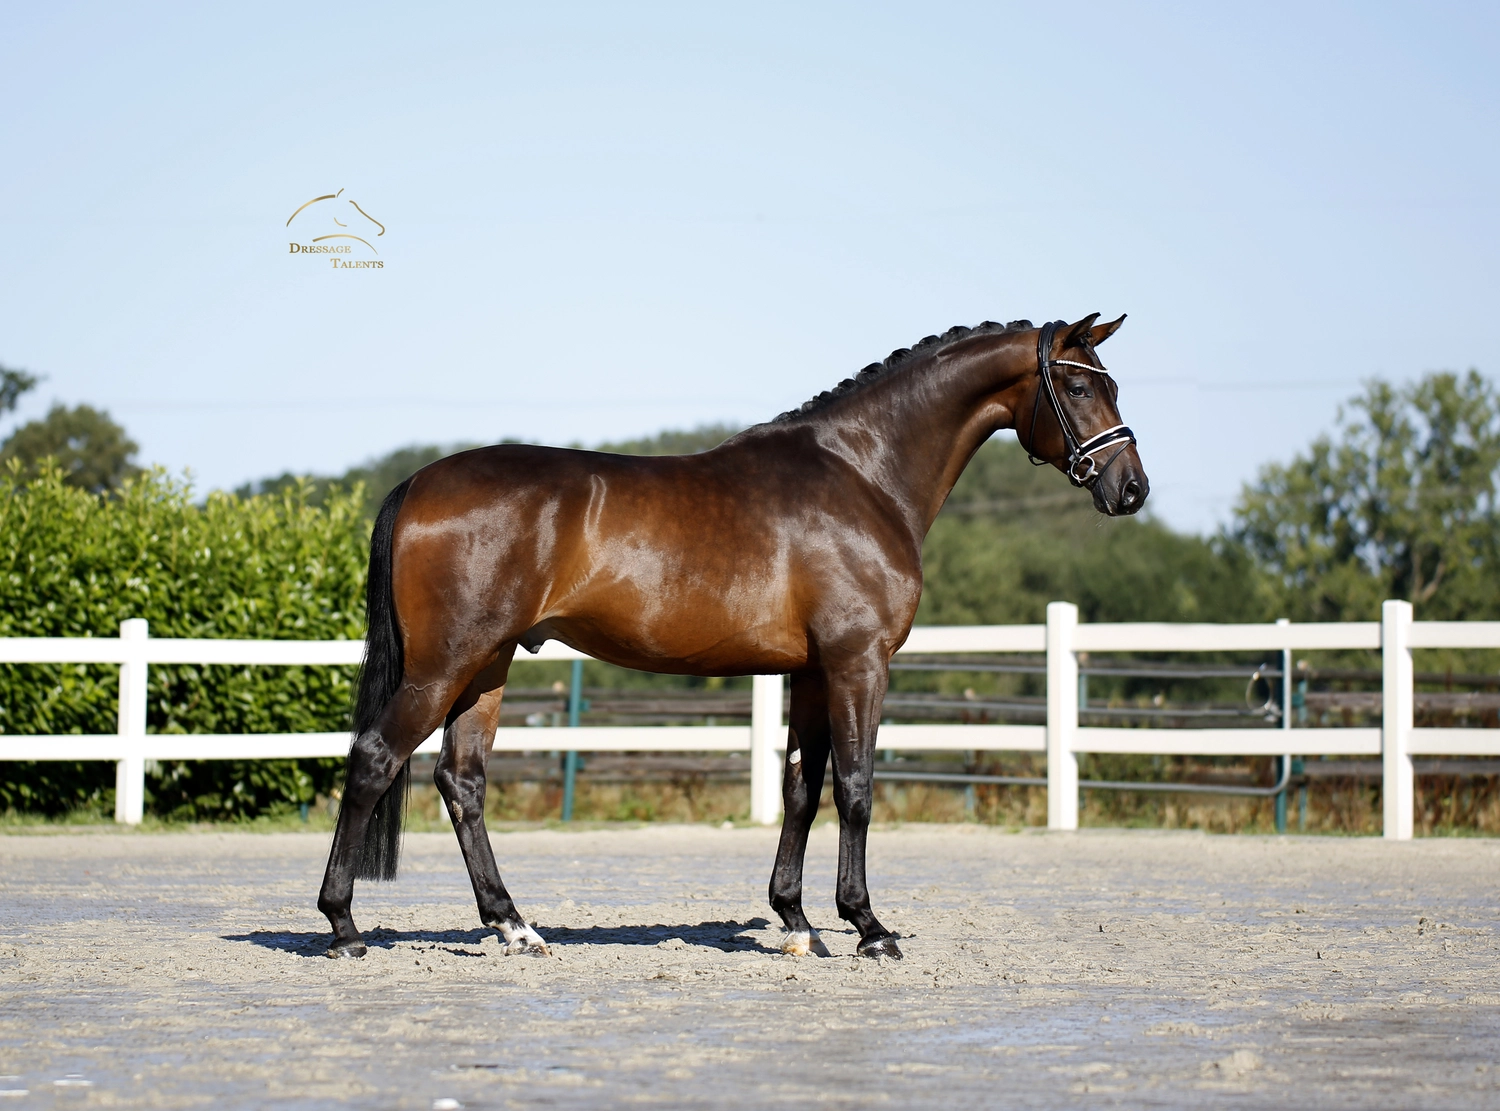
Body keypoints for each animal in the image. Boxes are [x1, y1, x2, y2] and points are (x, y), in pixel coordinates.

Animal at [317, 314, 1148, 960]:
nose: (1131, 488)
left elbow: (800, 788)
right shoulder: (859, 663)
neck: (862, 474)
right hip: (444, 664)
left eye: (1111, 382)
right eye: (1079, 386)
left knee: (462, 782)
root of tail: (420, 483)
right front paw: (868, 926)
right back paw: (343, 924)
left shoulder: (811, 671)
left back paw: (514, 925)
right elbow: (854, 787)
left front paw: (797, 919)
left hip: (485, 667)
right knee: (375, 760)